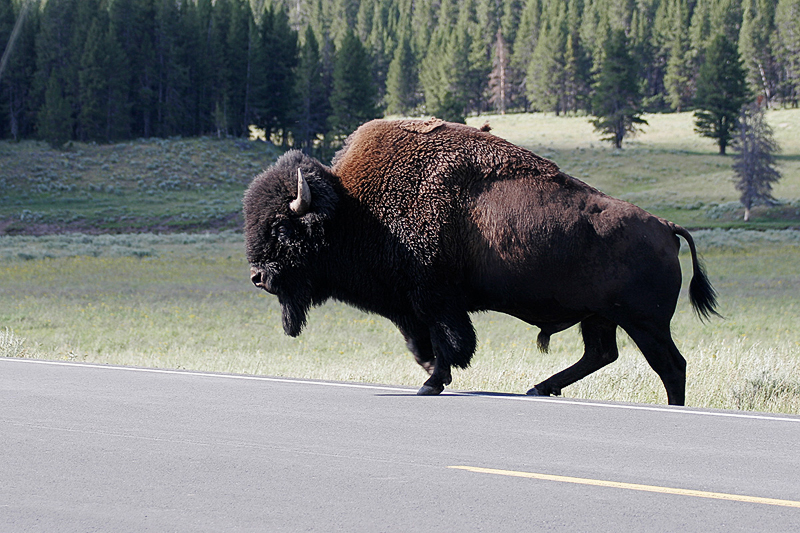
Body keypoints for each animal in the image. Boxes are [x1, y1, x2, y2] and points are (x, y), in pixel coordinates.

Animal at [244, 118, 720, 406]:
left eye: (283, 230)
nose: (258, 277)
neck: (355, 209)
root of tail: (665, 226)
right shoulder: (411, 306)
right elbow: (422, 343)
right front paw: (429, 374)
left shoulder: (437, 300)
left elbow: (449, 344)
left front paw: (431, 382)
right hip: (600, 317)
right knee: (602, 354)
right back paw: (539, 389)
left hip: (645, 322)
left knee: (670, 365)